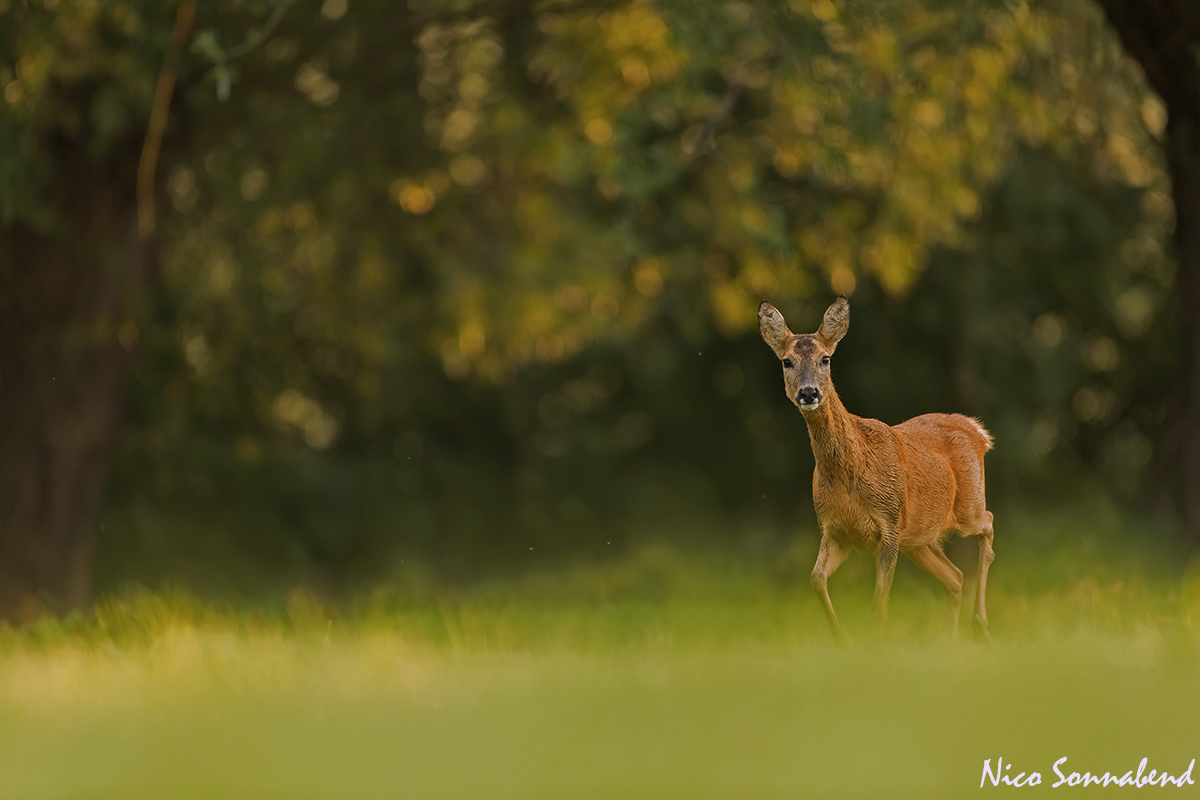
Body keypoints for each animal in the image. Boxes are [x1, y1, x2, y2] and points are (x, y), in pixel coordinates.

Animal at [758, 297, 993, 642]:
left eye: (826, 358)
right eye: (787, 361)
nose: (809, 393)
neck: (848, 475)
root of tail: (977, 431)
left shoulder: (890, 524)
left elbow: (879, 606)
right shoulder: (835, 530)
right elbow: (816, 578)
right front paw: (843, 638)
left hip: (966, 508)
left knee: (986, 523)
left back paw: (980, 623)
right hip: (919, 540)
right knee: (955, 577)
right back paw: (951, 640)